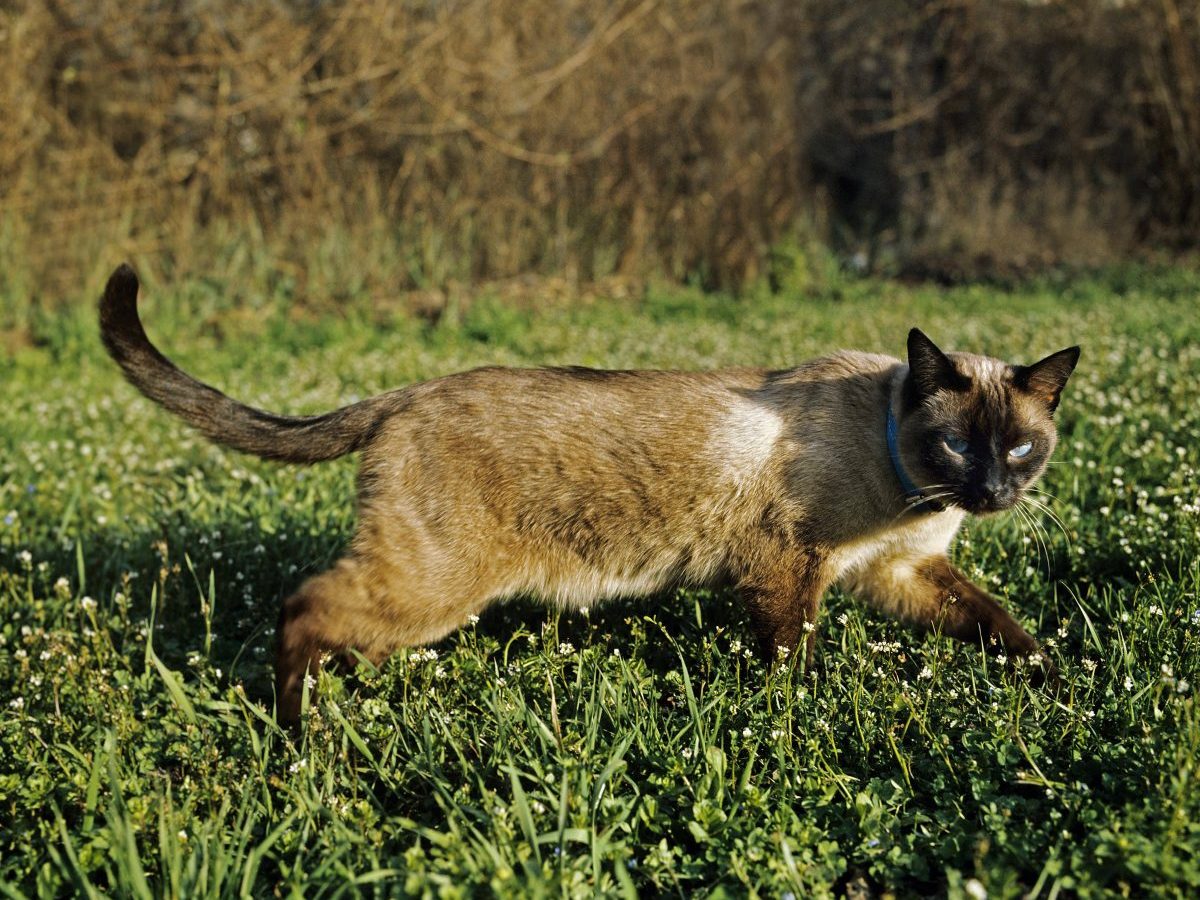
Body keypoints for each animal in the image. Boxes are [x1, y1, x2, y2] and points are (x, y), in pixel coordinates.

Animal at [100, 264, 1080, 724]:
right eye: (955, 444)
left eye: (1020, 448)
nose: (992, 490)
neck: (911, 493)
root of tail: (407, 393)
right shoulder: (787, 574)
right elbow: (790, 668)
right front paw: (790, 724)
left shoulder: (901, 574)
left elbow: (1000, 624)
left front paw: (1054, 677)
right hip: (431, 588)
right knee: (301, 609)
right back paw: (299, 736)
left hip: (416, 600)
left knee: (339, 626)